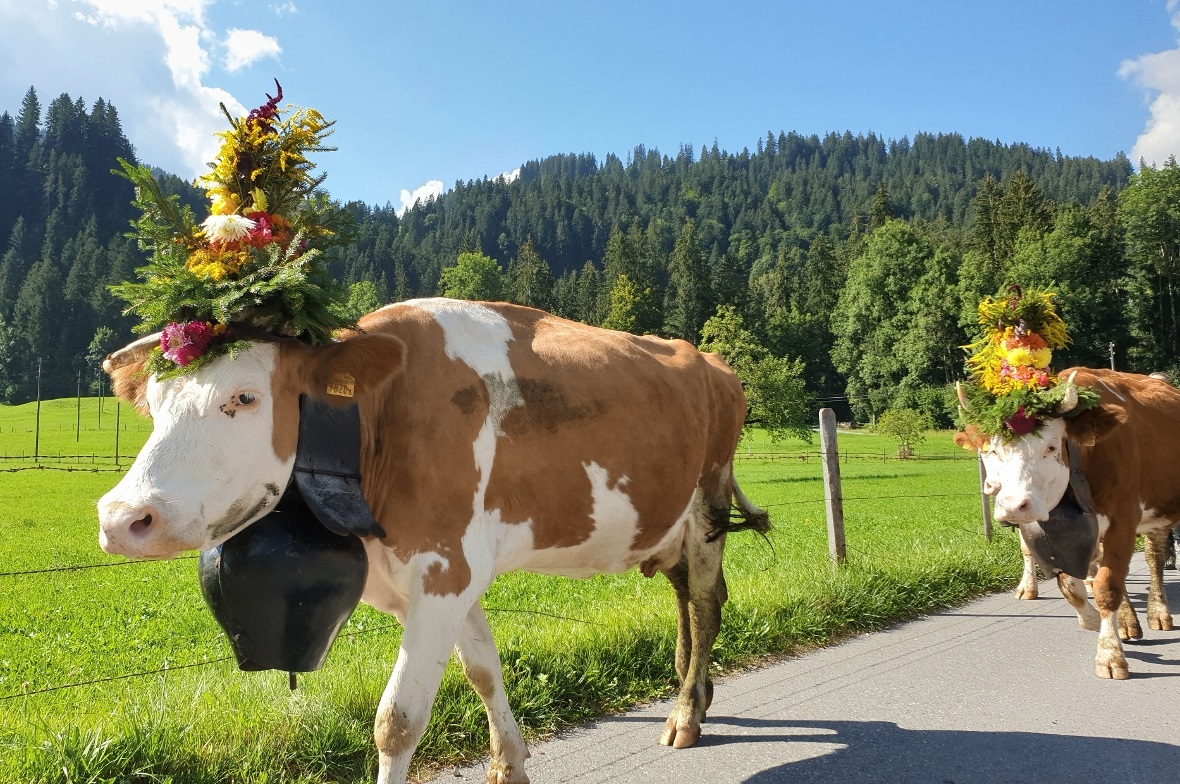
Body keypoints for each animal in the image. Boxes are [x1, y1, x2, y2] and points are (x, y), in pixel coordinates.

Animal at [96, 298, 769, 784]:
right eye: (153, 402)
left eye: (245, 396)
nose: (122, 517)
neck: (377, 424)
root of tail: (710, 359)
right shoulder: (446, 574)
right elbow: (483, 671)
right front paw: (508, 765)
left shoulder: (446, 568)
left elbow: (397, 720)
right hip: (668, 521)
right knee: (686, 596)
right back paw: (695, 689)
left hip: (706, 505)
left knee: (705, 605)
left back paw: (685, 713)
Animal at [960, 367, 1177, 680]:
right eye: (992, 450)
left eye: (1051, 447)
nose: (1013, 505)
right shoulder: (1050, 530)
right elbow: (1069, 584)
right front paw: (1092, 620)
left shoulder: (1123, 522)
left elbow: (1108, 585)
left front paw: (1109, 654)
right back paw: (1127, 620)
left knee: (1154, 558)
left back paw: (1158, 612)